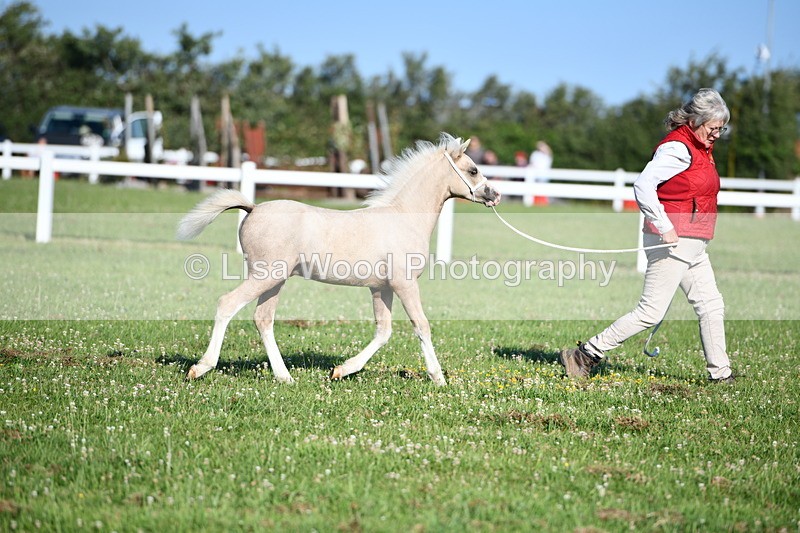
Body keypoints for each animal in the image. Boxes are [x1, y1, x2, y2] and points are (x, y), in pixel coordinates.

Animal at [176, 133, 501, 386]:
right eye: (473, 170)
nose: (494, 195)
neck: (403, 218)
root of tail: (252, 208)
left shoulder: (381, 288)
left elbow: (383, 331)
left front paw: (342, 370)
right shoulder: (404, 284)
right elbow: (421, 326)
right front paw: (438, 377)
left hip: (274, 280)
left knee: (263, 319)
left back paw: (284, 377)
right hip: (265, 276)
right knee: (227, 304)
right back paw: (201, 368)